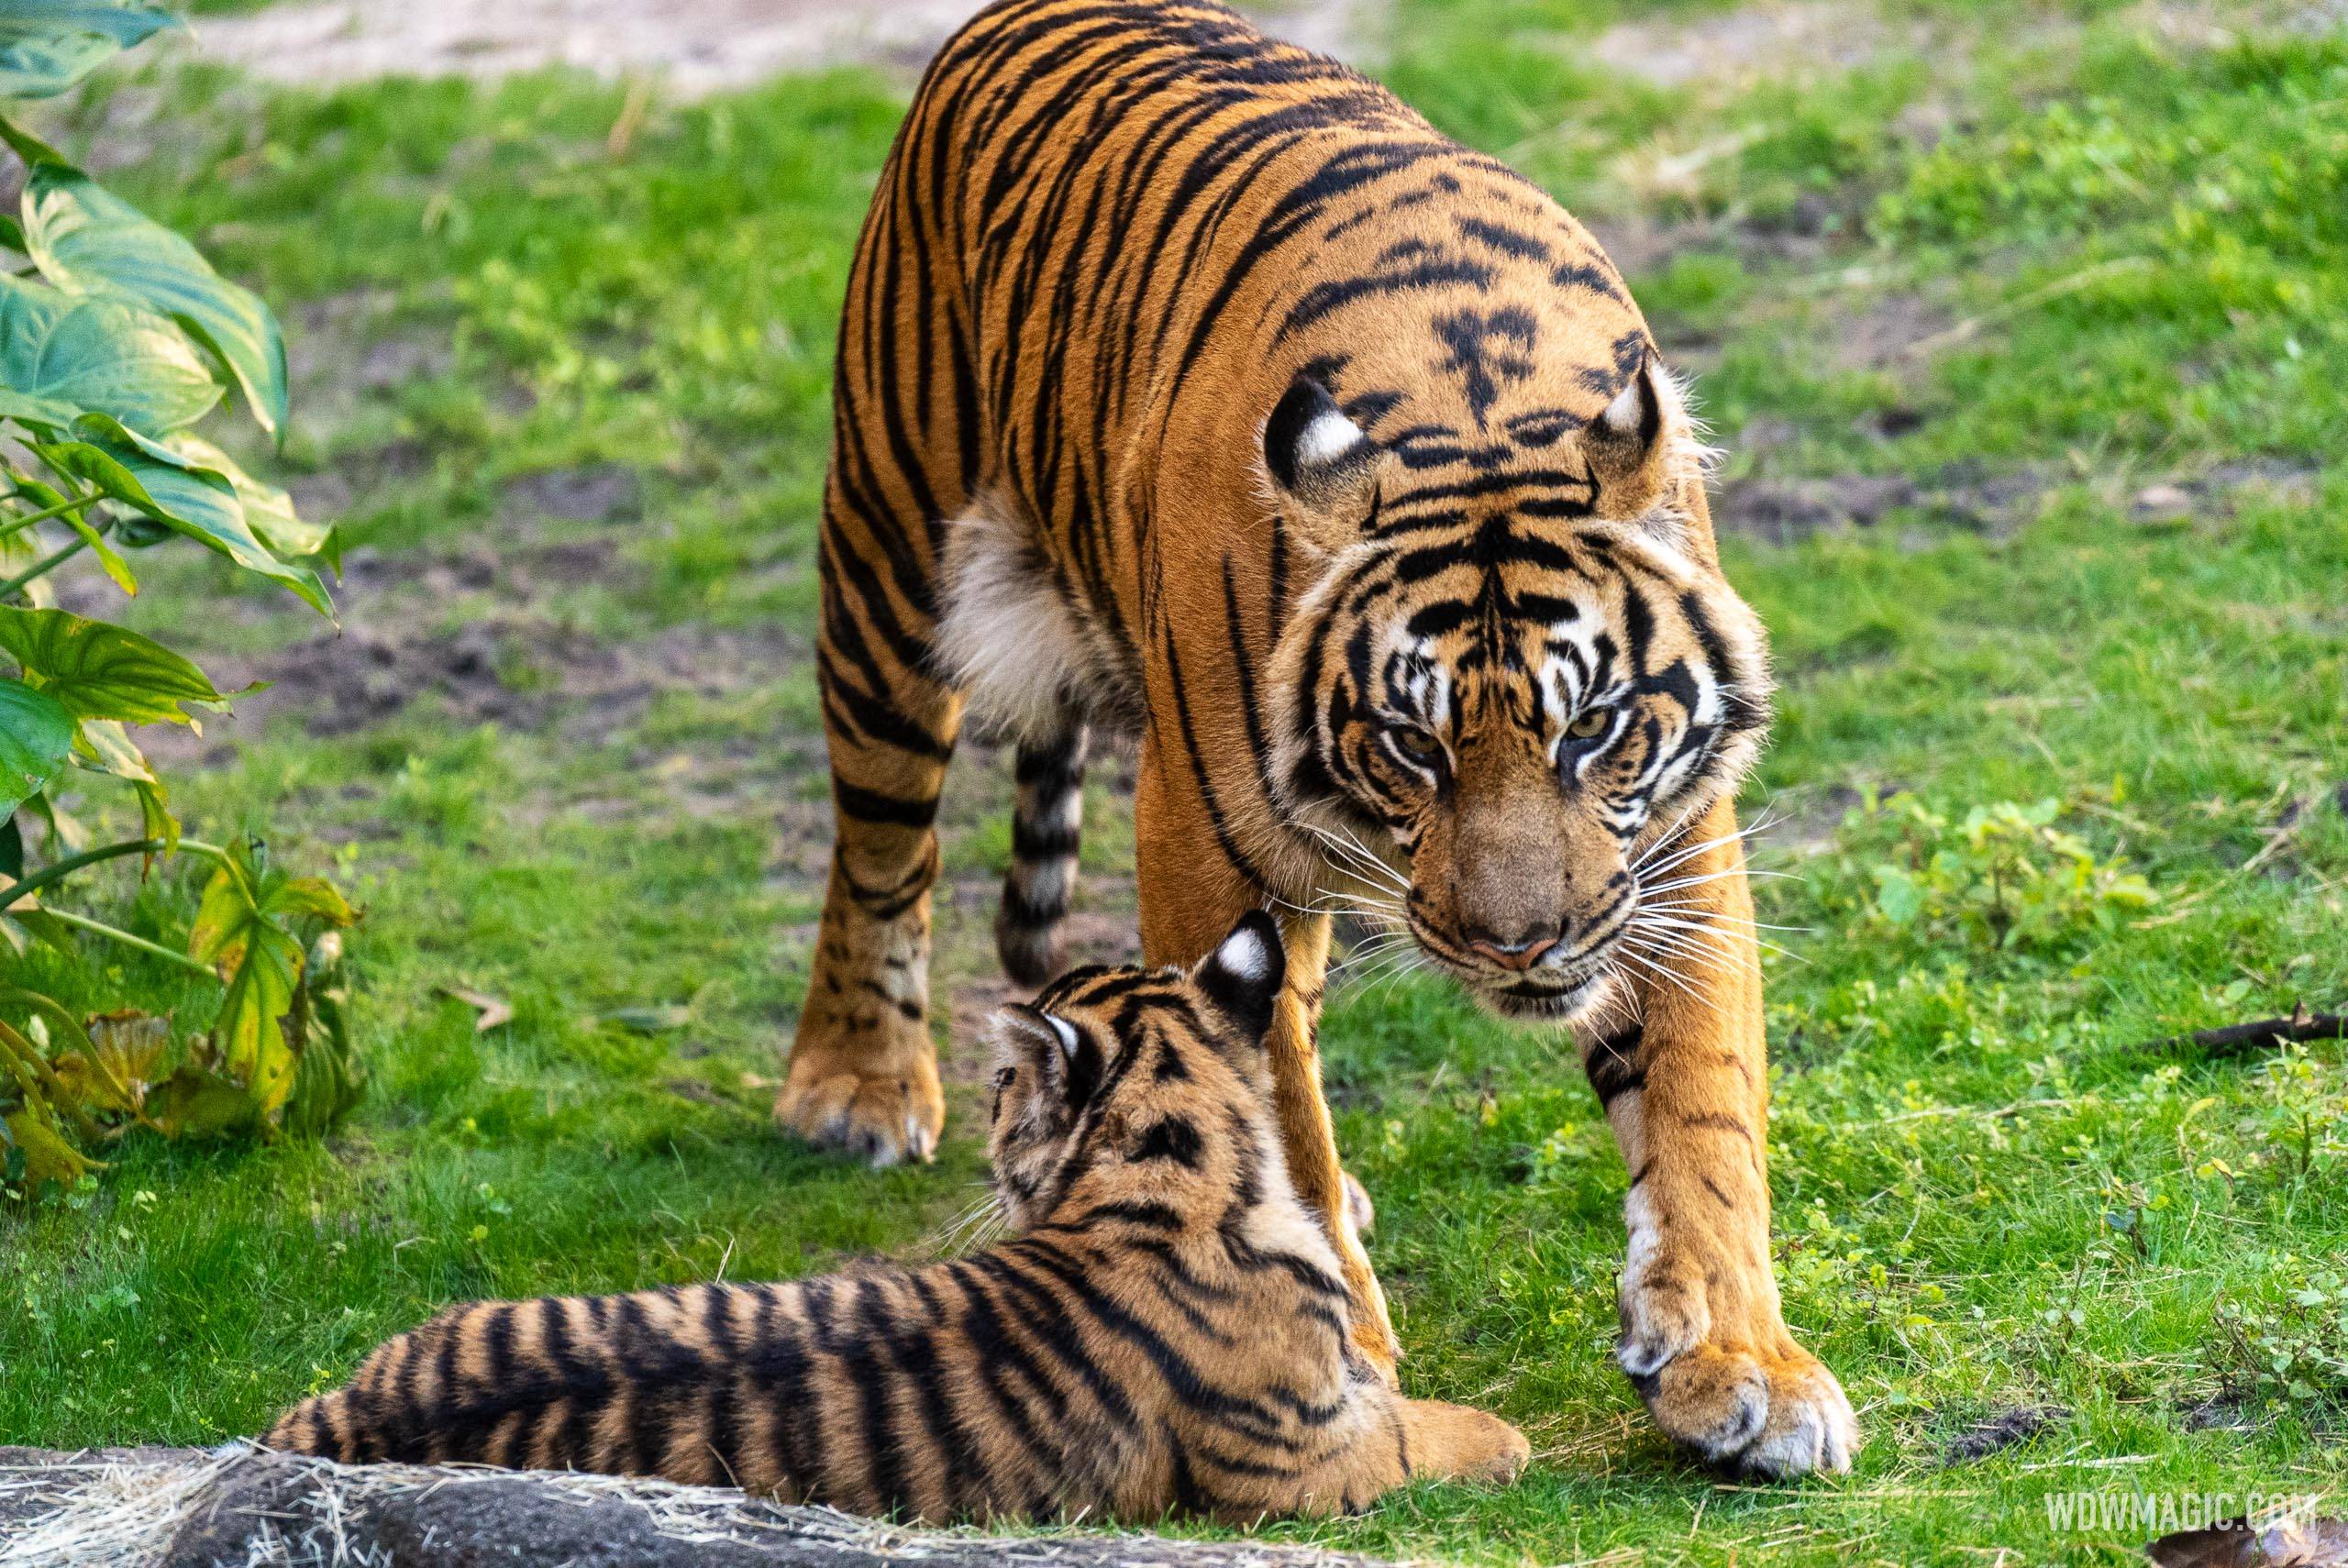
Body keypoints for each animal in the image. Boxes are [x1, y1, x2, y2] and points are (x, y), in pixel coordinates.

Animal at [789, 0, 1850, 1483]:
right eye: (1413, 744)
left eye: (1591, 729)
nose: (1520, 945)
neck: (1476, 418)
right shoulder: (1203, 849)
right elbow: (1270, 1102)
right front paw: (1341, 1343)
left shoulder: (1673, 855)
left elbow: (1704, 1104)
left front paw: (1739, 1362)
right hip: (891, 558)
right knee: (879, 844)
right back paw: (857, 1084)